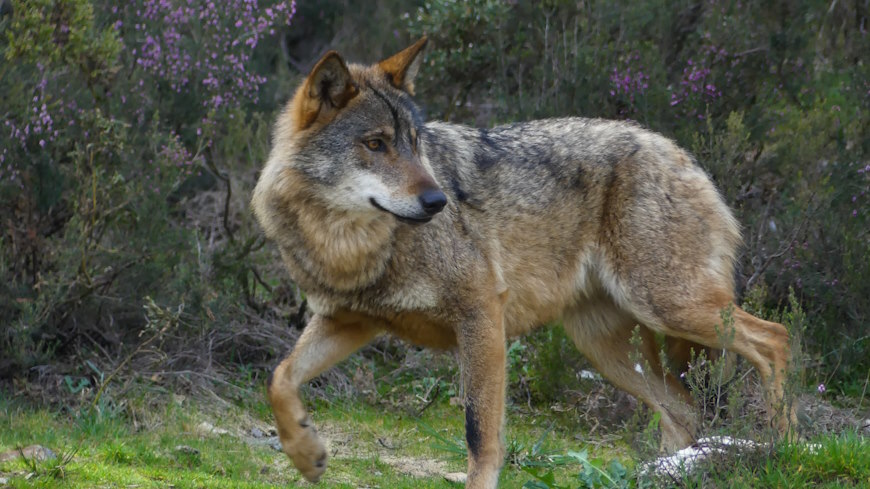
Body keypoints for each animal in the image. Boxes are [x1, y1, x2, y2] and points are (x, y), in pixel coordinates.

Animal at [251, 37, 797, 488]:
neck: (349, 248)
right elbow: (279, 379)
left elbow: (480, 435)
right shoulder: (348, 322)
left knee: (774, 339)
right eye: (375, 143)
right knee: (682, 408)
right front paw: (306, 454)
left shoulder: (481, 315)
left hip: (667, 308)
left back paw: (784, 447)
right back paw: (666, 472)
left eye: (415, 143)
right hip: (605, 346)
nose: (439, 201)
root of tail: (683, 154)